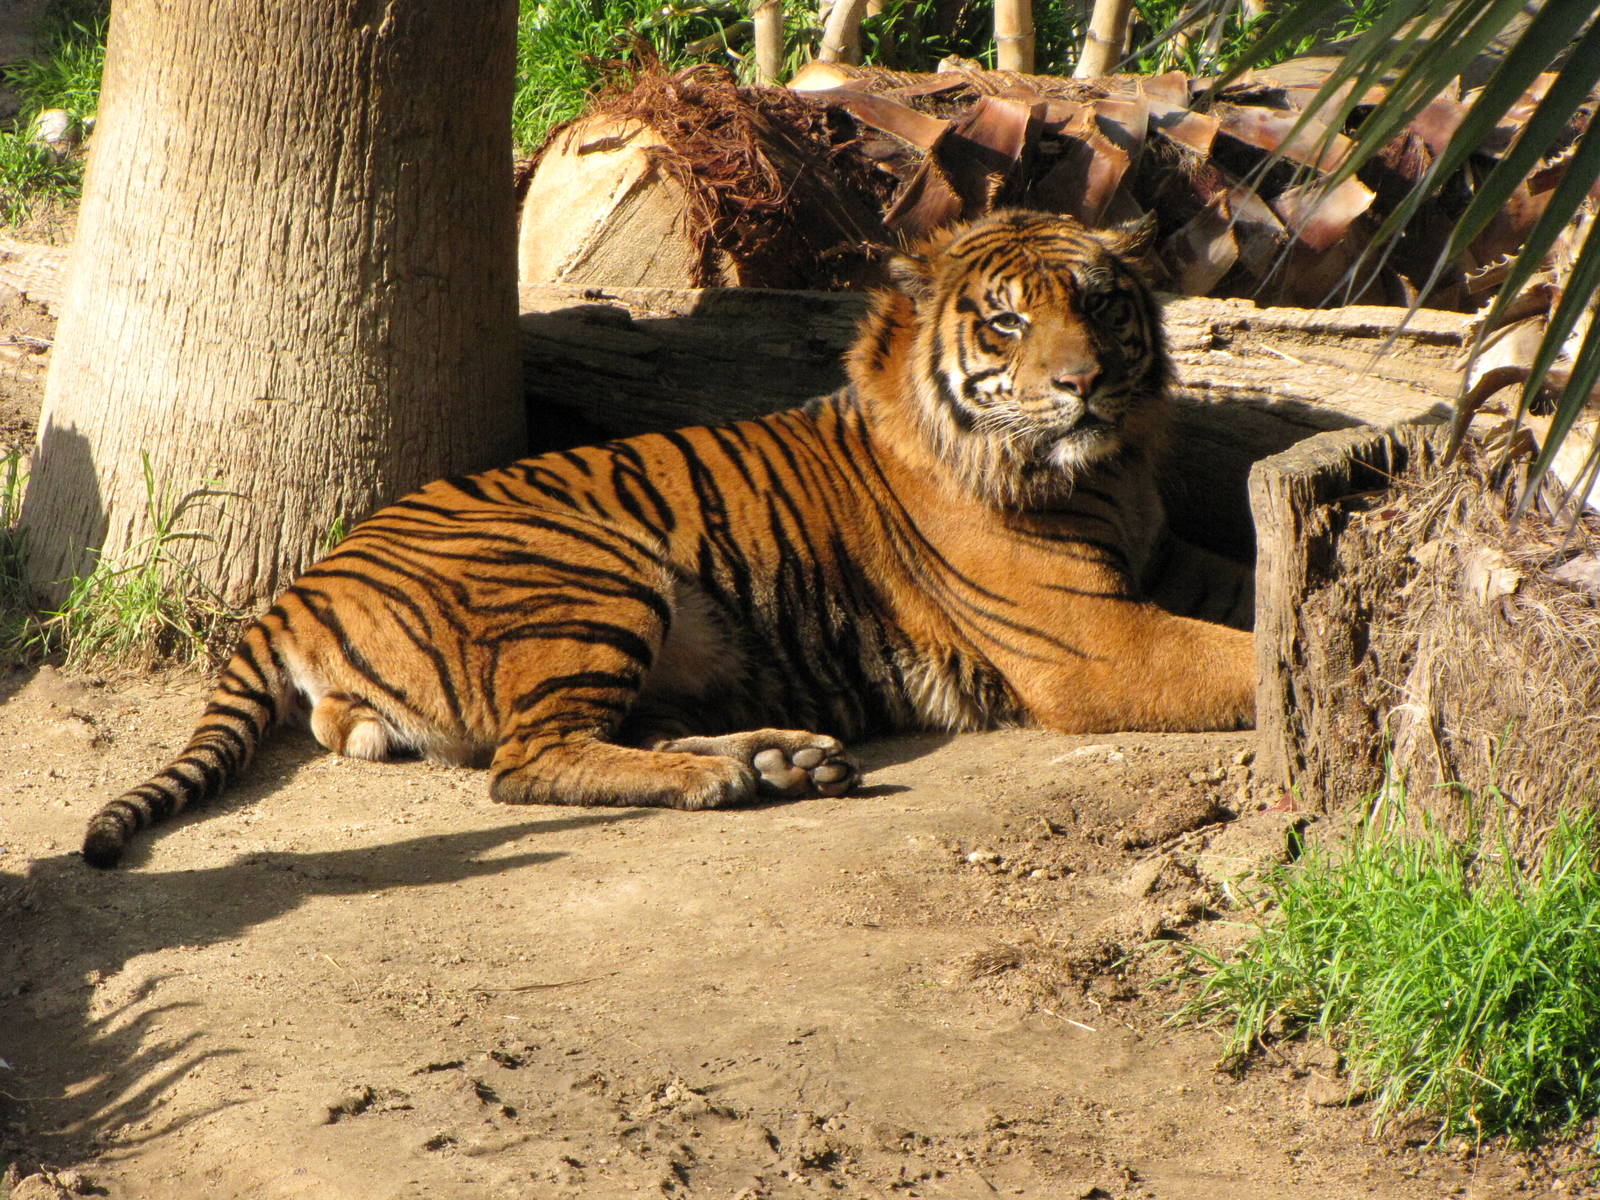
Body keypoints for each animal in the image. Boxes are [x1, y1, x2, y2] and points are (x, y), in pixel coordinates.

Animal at [80, 207, 1255, 868]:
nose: (1085, 383)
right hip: (596, 572)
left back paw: (785, 759)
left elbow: (1260, 588)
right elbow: (1237, 662)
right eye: (1008, 321)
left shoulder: (1164, 564)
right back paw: (731, 781)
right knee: (525, 764)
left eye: (1101, 306)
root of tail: (299, 584)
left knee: (612, 733)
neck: (1110, 473)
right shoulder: (1095, 642)